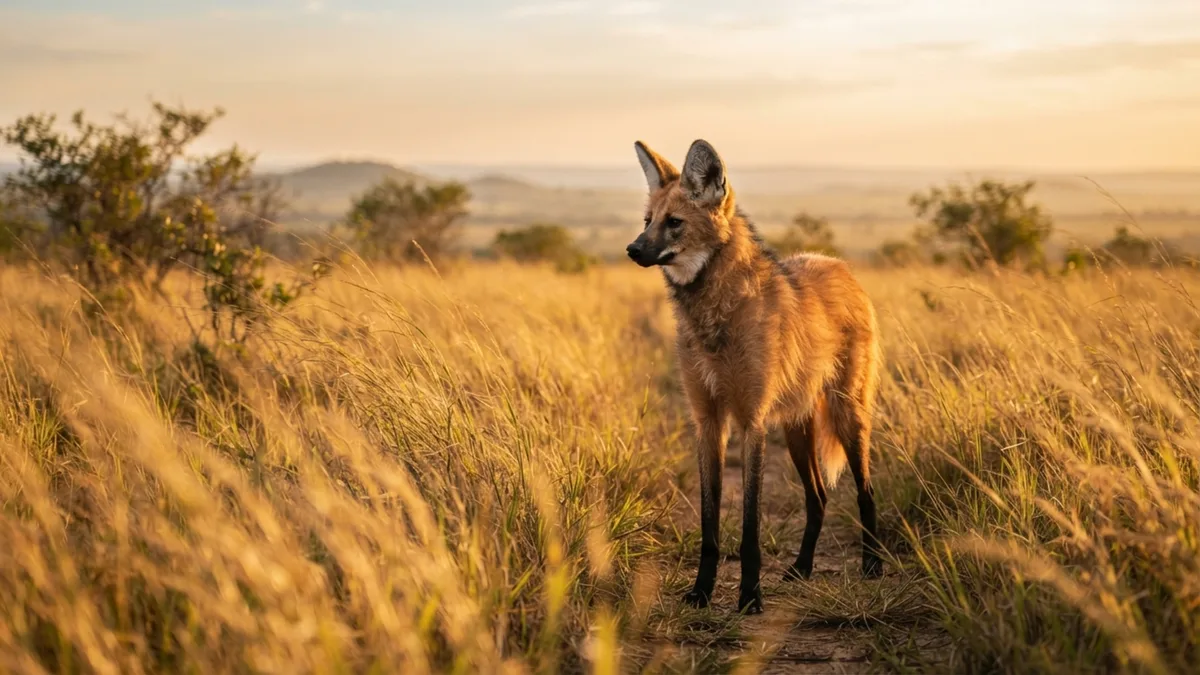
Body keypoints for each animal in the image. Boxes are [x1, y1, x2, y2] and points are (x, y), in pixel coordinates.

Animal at [625, 139, 883, 614]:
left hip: (846, 415)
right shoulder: (709, 421)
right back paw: (801, 568)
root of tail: (839, 265)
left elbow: (749, 526)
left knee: (865, 491)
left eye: (675, 223)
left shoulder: (751, 422)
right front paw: (701, 592)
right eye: (647, 221)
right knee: (818, 497)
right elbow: (709, 524)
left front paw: (749, 596)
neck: (716, 314)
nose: (632, 250)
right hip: (797, 427)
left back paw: (873, 564)